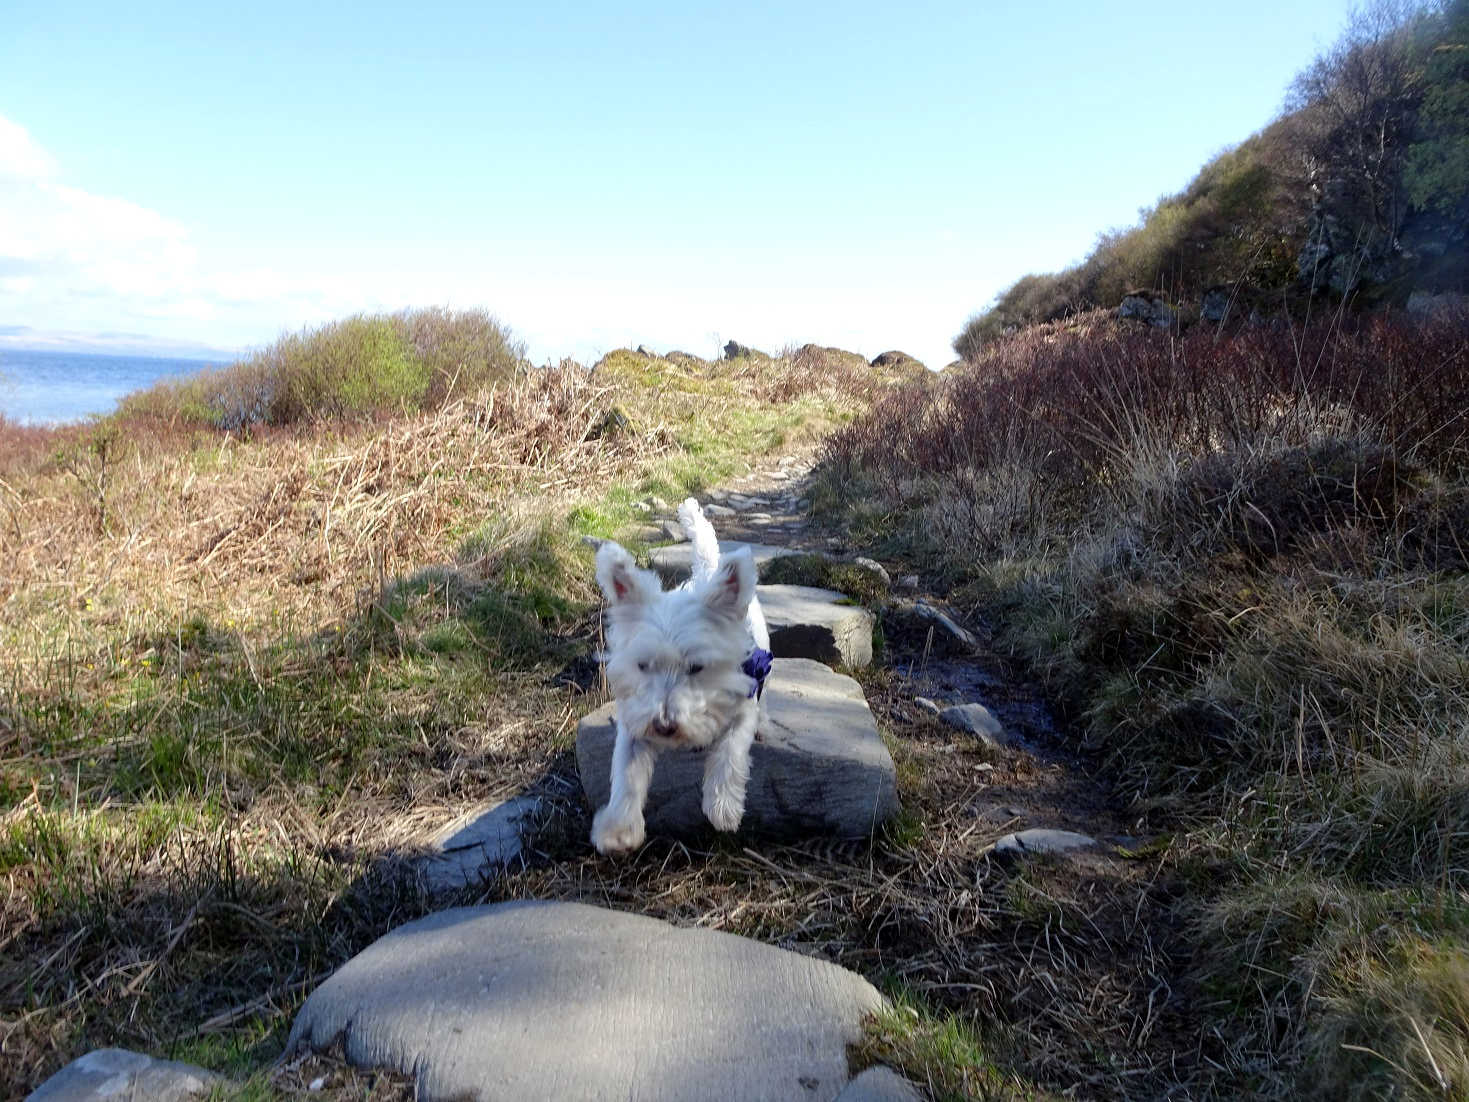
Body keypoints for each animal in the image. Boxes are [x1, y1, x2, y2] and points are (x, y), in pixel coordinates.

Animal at [587, 496, 775, 858]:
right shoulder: (635, 721)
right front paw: (619, 830)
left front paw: (723, 807)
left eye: (697, 667)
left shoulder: (743, 703)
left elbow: (730, 751)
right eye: (642, 665)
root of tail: (708, 571)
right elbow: (626, 774)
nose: (664, 726)